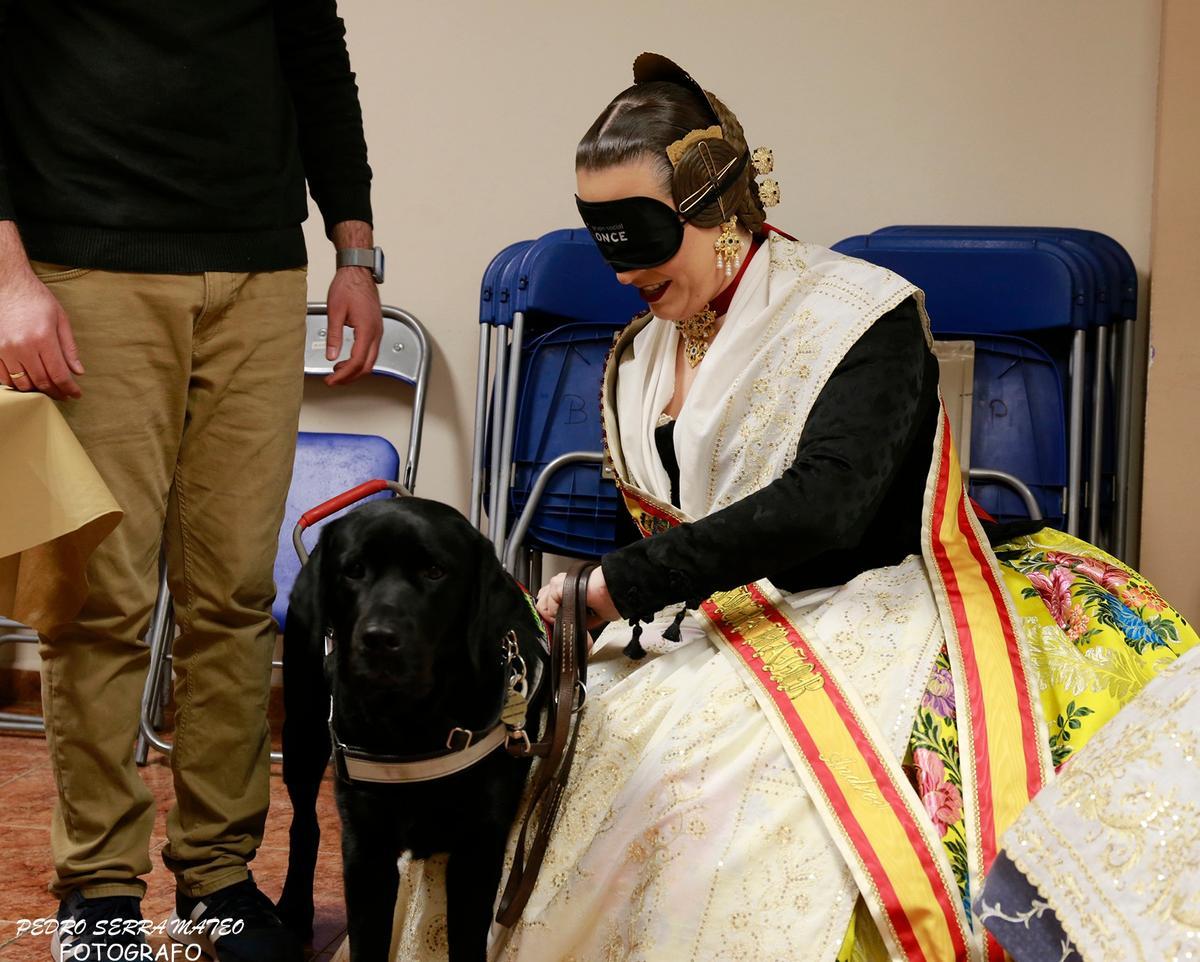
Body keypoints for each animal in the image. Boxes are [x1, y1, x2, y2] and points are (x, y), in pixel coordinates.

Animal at [276, 498, 544, 954]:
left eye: (434, 571)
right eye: (353, 569)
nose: (379, 639)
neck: (412, 725)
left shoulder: (478, 847)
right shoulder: (366, 849)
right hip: (302, 734)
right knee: (304, 825)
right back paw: (294, 910)